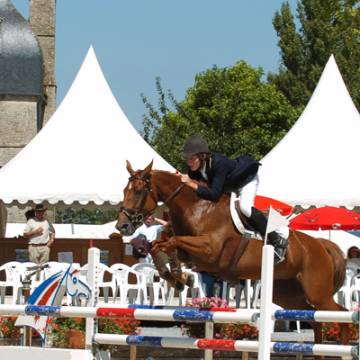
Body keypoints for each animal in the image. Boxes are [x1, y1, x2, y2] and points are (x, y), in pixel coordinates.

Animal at [117, 161, 348, 348]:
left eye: (138, 191)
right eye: (124, 190)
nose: (122, 226)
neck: (197, 208)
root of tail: (320, 245)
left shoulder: (210, 252)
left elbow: (171, 242)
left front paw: (179, 278)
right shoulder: (190, 252)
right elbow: (159, 245)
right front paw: (177, 278)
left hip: (318, 293)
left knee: (341, 315)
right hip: (289, 295)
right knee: (316, 319)